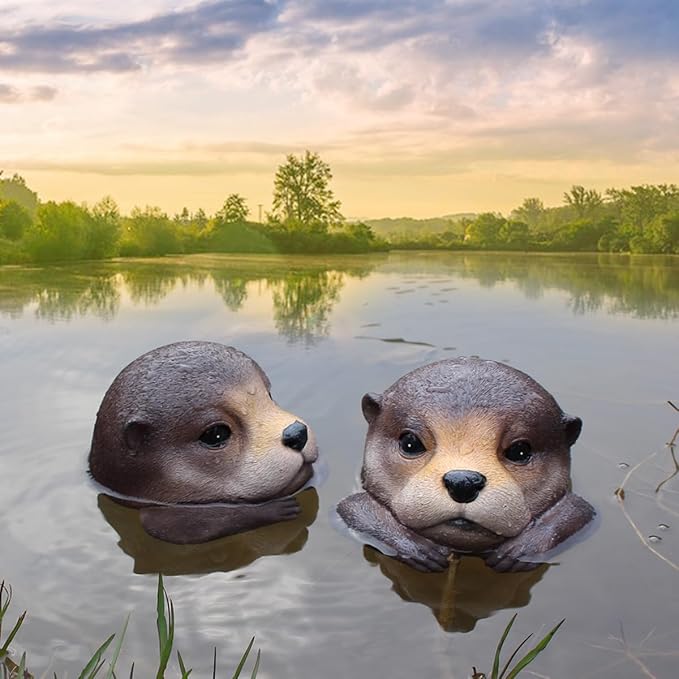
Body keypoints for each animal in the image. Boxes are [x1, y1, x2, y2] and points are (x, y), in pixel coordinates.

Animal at [337, 358, 594, 573]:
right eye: (410, 443)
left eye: (520, 451)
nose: (463, 481)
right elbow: (351, 507)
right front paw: (417, 548)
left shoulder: (582, 512)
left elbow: (579, 510)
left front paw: (522, 548)